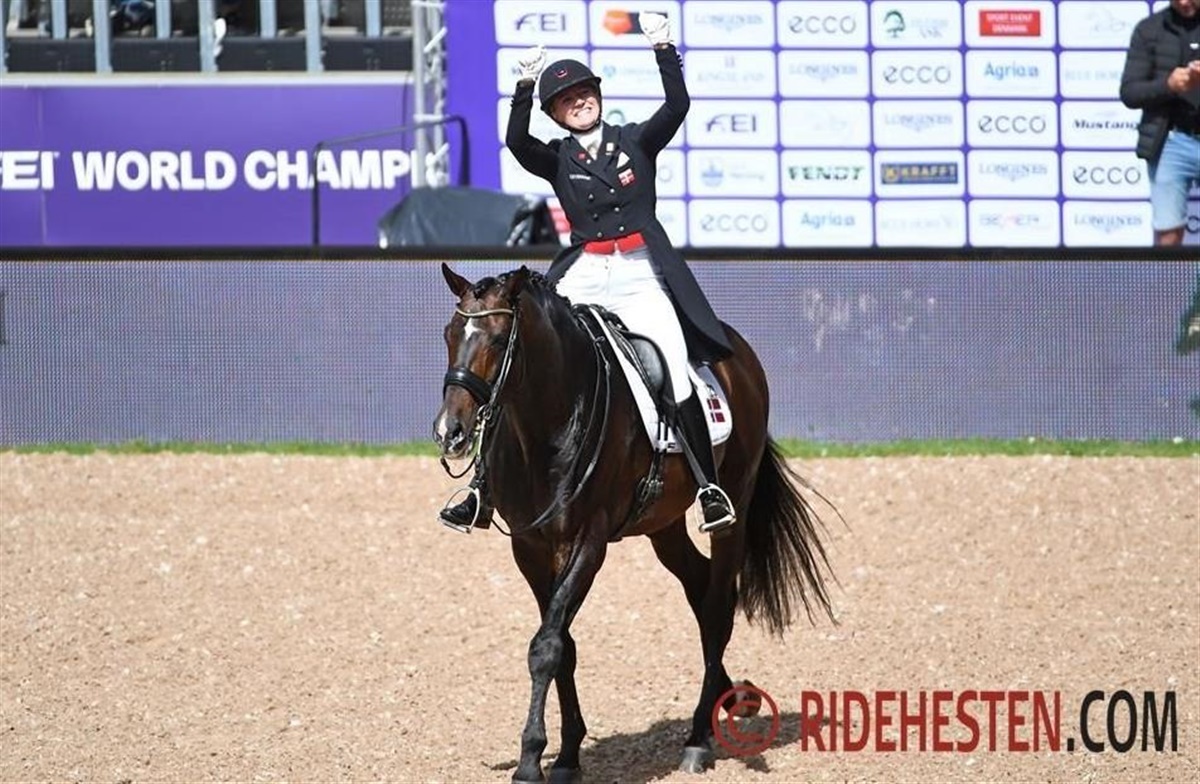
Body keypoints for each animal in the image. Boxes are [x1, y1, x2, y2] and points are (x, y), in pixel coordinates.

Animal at [432, 263, 835, 783]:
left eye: (501, 340)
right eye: (450, 334)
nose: (450, 433)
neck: (549, 420)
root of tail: (736, 352)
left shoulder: (588, 541)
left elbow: (546, 646)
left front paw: (530, 759)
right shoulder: (530, 547)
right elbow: (562, 644)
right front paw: (567, 754)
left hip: (734, 511)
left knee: (718, 605)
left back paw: (699, 740)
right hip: (663, 526)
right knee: (701, 589)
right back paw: (735, 698)